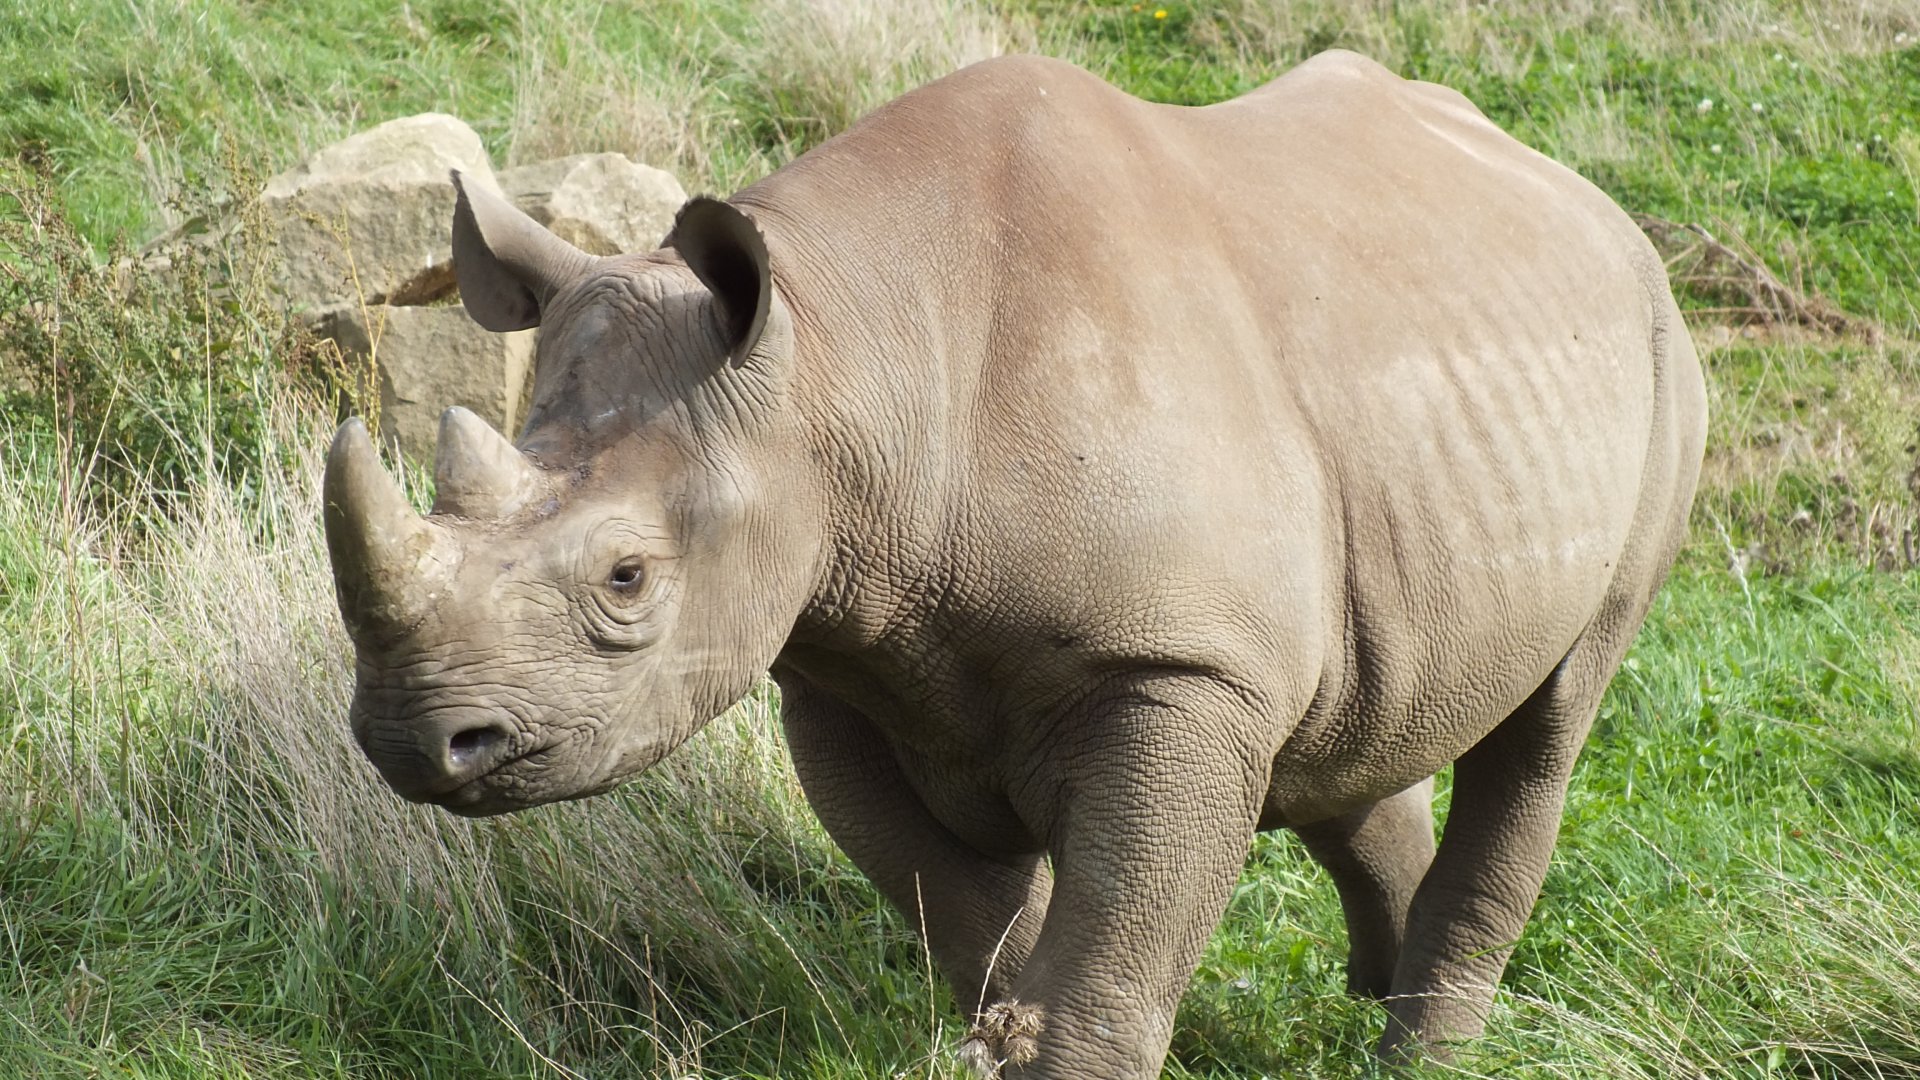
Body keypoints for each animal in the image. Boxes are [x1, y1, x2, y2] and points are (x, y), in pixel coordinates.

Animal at [323, 50, 1705, 1077]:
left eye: (627, 581)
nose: (411, 741)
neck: (846, 363)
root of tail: (1579, 192)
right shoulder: (841, 658)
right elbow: (976, 923)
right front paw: (1001, 1033)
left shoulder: (1181, 667)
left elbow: (1106, 952)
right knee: (1356, 729)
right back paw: (1376, 991)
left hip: (1658, 351)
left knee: (1548, 723)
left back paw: (1421, 1045)